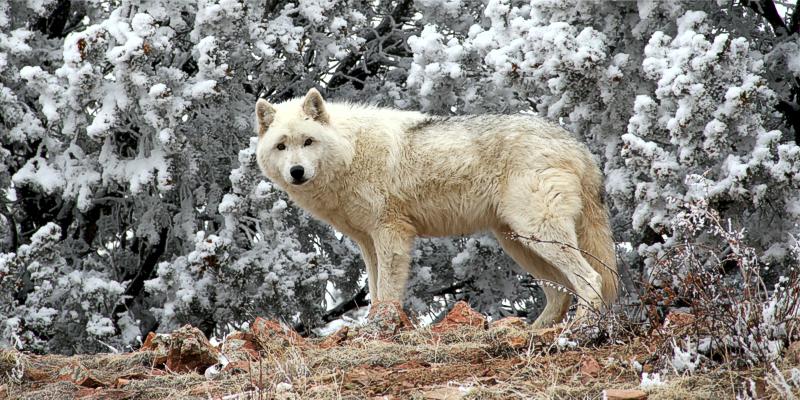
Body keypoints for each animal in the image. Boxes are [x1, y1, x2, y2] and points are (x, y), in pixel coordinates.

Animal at [254, 88, 617, 327]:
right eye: (281, 146)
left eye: (308, 141)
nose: (296, 171)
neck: (351, 151)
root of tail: (578, 146)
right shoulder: (367, 242)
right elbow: (375, 289)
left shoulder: (391, 233)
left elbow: (387, 291)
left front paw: (378, 329)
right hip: (521, 244)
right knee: (561, 294)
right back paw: (533, 332)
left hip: (537, 235)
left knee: (591, 278)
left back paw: (581, 329)